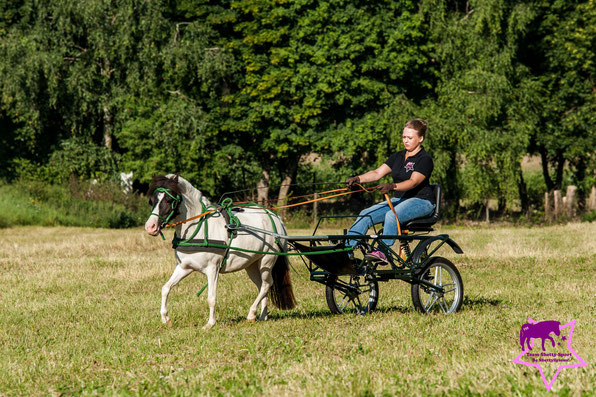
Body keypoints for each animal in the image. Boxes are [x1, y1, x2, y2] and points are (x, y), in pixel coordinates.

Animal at [144, 173, 294, 328]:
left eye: (168, 200)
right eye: (152, 201)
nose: (150, 227)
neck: (199, 229)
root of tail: (276, 218)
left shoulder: (212, 269)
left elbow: (211, 298)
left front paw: (210, 323)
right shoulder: (184, 267)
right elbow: (165, 288)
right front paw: (165, 318)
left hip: (267, 261)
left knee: (266, 285)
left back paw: (252, 313)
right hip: (252, 265)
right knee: (262, 287)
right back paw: (261, 316)